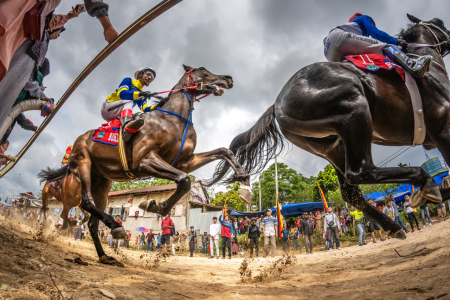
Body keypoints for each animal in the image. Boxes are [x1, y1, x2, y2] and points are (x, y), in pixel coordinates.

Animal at [38, 65, 250, 262]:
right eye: (202, 69)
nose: (228, 78)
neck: (172, 119)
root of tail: (77, 141)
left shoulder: (184, 161)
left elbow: (222, 152)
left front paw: (245, 183)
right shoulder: (145, 160)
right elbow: (184, 180)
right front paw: (156, 206)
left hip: (102, 182)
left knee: (91, 222)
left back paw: (105, 255)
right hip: (83, 164)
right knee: (85, 203)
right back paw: (116, 226)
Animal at [210, 14, 450, 239]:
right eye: (440, 23)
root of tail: (277, 105)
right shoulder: (443, 126)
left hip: (333, 145)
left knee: (351, 192)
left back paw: (396, 224)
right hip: (355, 108)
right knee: (362, 171)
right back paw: (425, 182)